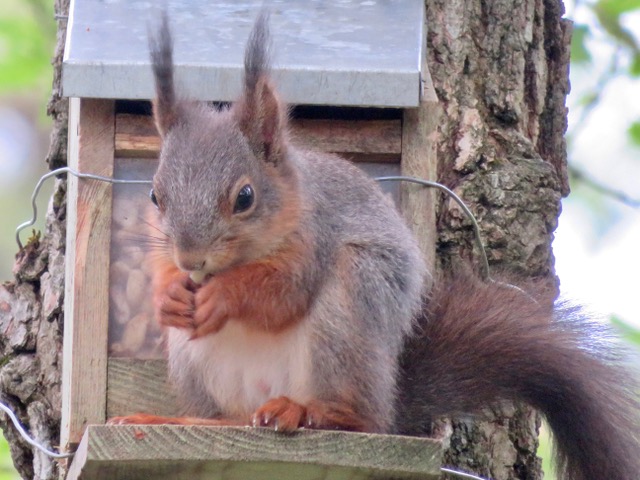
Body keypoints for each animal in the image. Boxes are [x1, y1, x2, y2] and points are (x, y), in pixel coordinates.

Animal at [109, 12, 640, 480]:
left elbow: (282, 294)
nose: (191, 259)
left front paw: (224, 295)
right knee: (230, 420)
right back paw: (167, 418)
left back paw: (302, 412)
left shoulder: (315, 238)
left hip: (349, 306)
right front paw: (169, 294)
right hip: (196, 364)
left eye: (245, 197)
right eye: (154, 195)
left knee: (354, 418)